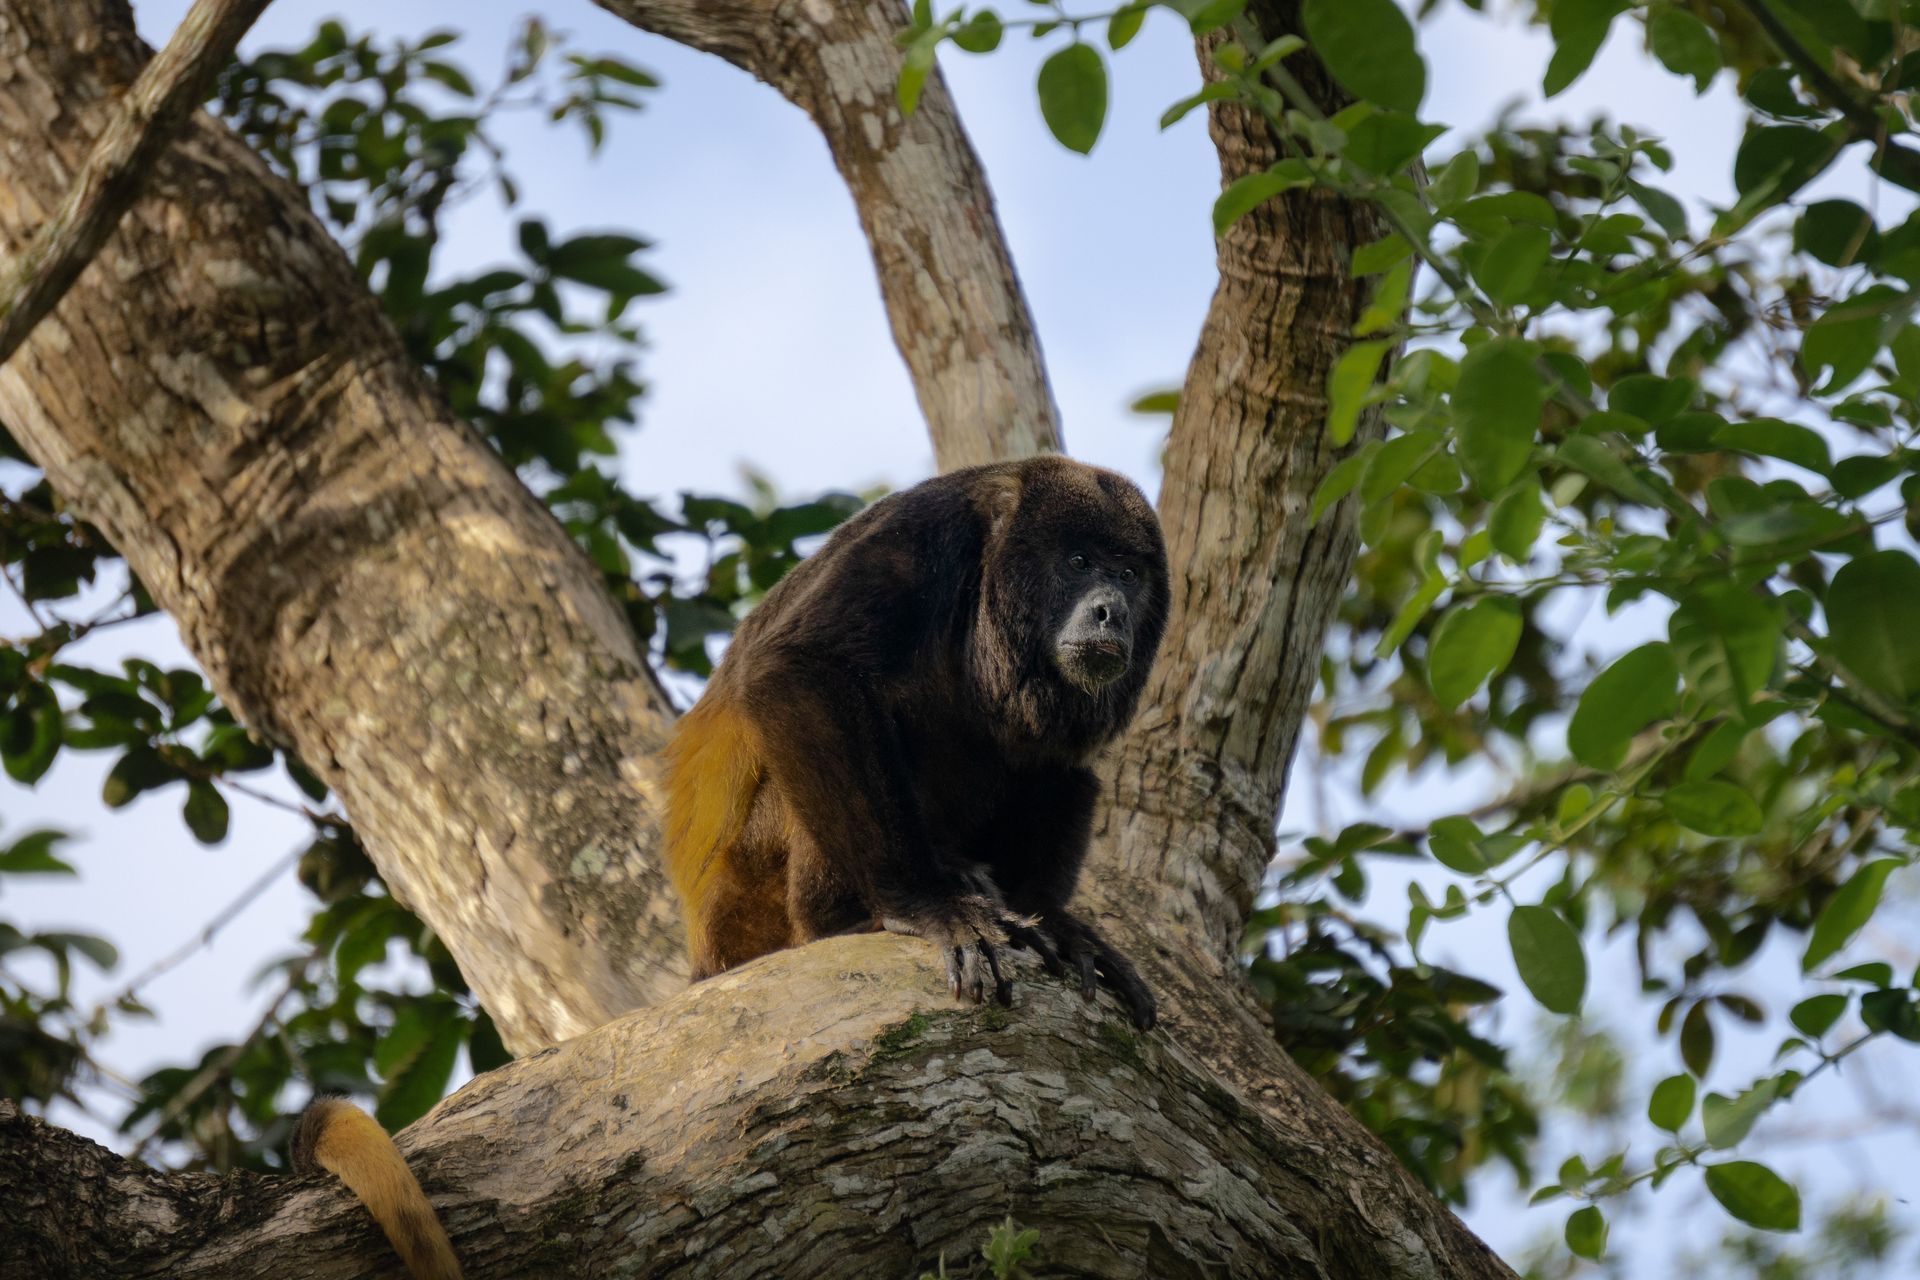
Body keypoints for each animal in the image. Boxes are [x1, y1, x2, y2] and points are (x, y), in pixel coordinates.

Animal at [664, 454, 1168, 1028]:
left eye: (1129, 576)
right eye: (1079, 562)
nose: (1113, 611)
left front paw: (1055, 921)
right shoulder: (923, 531)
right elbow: (803, 667)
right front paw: (922, 903)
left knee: (1059, 768)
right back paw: (847, 917)